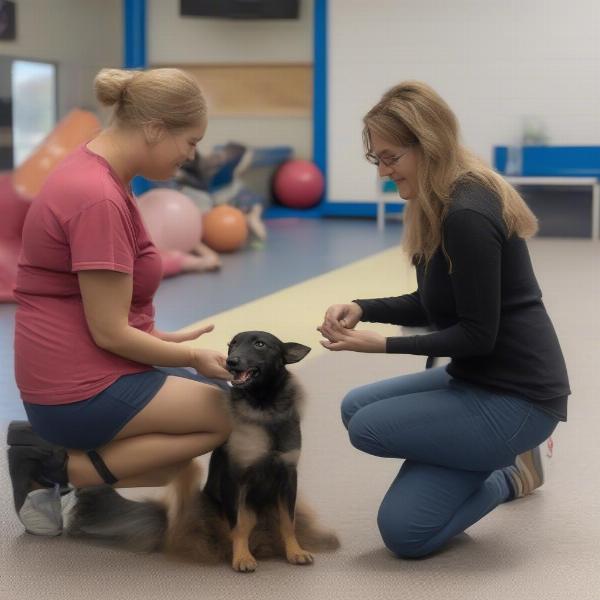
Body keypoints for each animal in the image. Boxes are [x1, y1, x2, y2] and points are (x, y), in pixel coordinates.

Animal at [68, 332, 340, 572]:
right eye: (232, 344)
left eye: (260, 344)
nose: (231, 362)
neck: (264, 406)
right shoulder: (236, 479)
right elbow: (238, 525)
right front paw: (241, 557)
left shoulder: (288, 477)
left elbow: (287, 522)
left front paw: (295, 551)